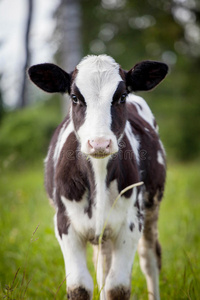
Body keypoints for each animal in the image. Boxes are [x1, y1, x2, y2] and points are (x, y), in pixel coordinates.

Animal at [28, 54, 168, 300]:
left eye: (121, 96)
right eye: (75, 97)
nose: (99, 143)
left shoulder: (131, 224)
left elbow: (117, 287)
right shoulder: (65, 225)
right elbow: (79, 286)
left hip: (151, 209)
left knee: (150, 259)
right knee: (102, 265)